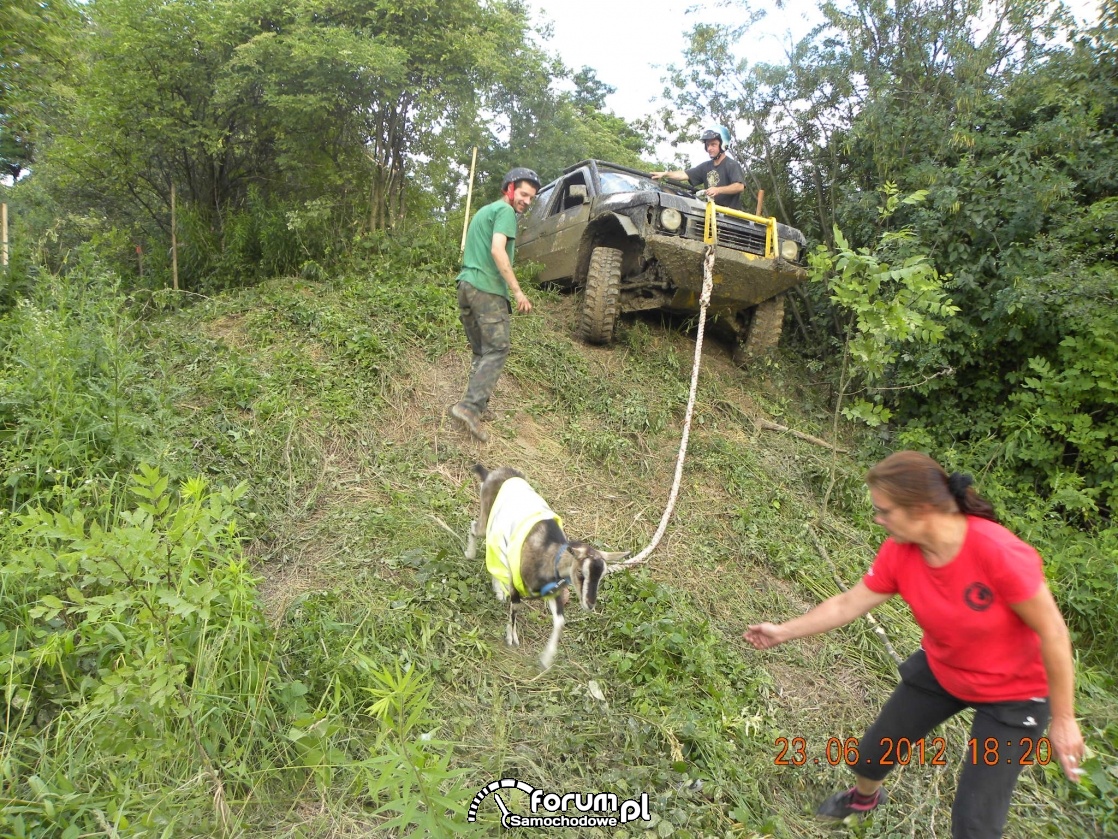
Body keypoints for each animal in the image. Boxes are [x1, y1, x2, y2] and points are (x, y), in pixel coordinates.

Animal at [465, 467, 630, 671]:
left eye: (602, 576)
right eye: (580, 573)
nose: (590, 604)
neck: (547, 554)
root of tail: (493, 473)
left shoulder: (553, 591)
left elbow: (559, 621)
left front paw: (546, 659)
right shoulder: (516, 583)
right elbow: (515, 608)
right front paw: (512, 638)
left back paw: (498, 590)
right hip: (488, 515)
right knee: (475, 528)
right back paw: (470, 554)